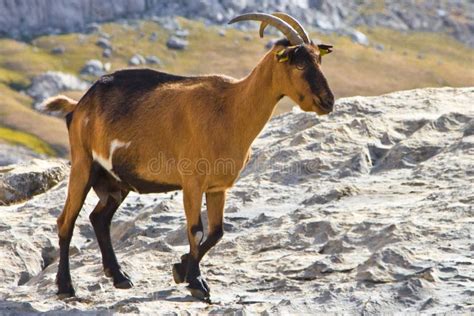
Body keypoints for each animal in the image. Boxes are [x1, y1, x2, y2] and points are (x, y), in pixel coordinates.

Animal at [43, 12, 334, 302]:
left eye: (319, 60)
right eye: (299, 65)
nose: (328, 102)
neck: (231, 108)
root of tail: (79, 106)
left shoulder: (217, 187)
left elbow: (217, 232)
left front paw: (181, 269)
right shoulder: (192, 182)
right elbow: (196, 230)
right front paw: (197, 283)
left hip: (115, 180)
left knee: (99, 218)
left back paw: (119, 277)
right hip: (83, 164)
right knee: (66, 221)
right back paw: (66, 286)